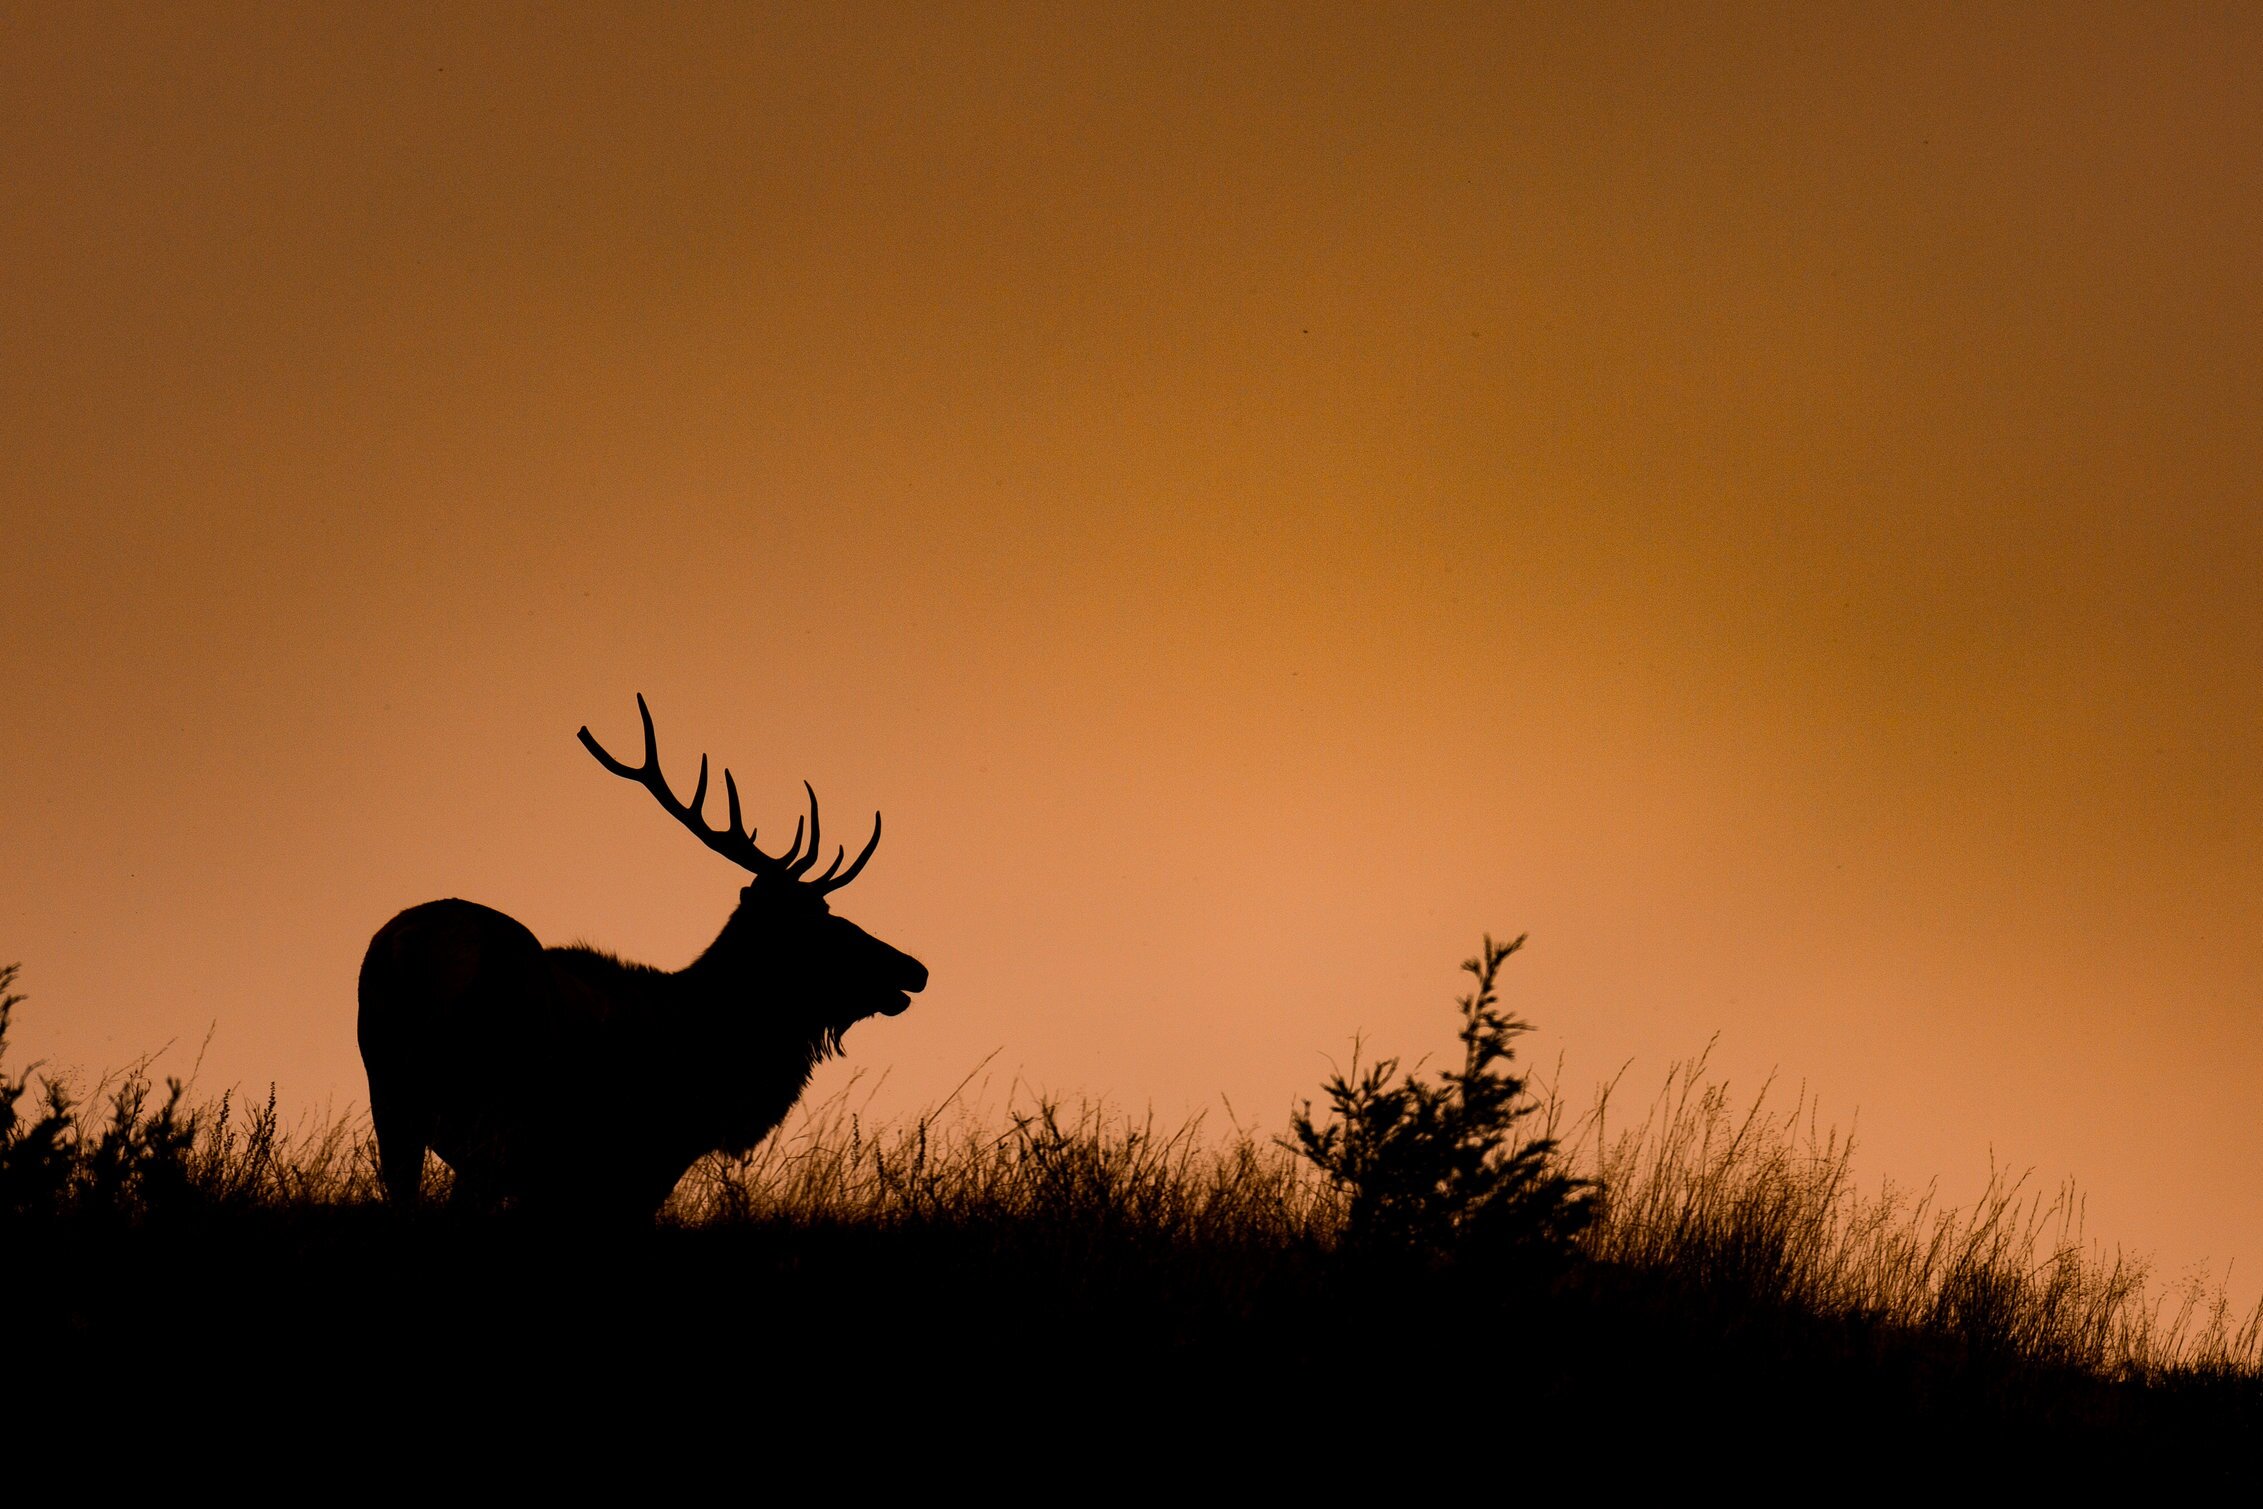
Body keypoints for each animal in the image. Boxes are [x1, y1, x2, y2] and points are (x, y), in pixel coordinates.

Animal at [357, 696, 923, 1212]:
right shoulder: (634, 1162)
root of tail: (406, 947)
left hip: (390, 1096)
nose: (915, 969)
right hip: (487, 1111)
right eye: (818, 922)